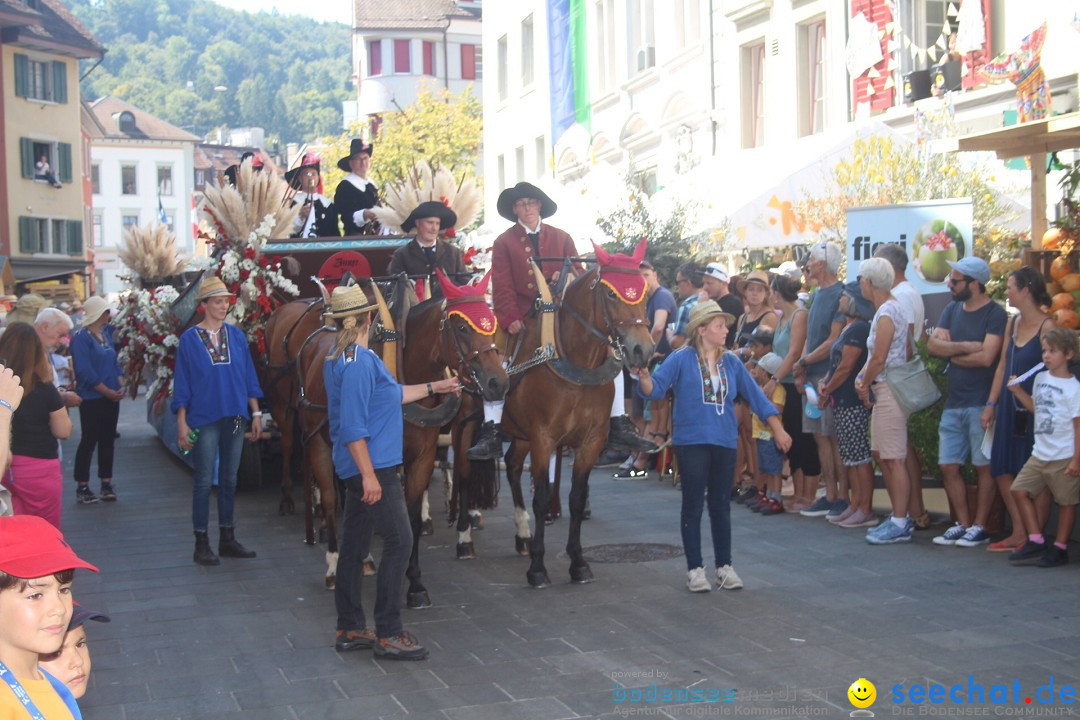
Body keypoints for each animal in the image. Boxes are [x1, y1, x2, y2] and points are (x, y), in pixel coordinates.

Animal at [494, 239, 648, 587]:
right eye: (611, 294)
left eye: (644, 291)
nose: (642, 349)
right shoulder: (543, 438)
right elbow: (541, 499)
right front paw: (538, 567)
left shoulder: (590, 442)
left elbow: (577, 499)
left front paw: (578, 562)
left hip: (521, 435)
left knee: (512, 466)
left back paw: (522, 534)